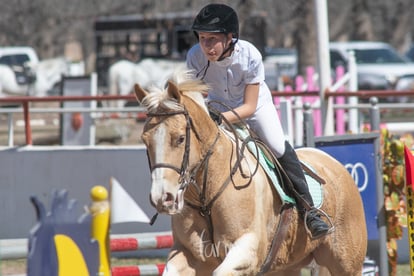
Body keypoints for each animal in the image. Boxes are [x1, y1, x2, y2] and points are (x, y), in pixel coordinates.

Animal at [133, 70, 366, 274]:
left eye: (180, 138)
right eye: (145, 141)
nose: (162, 198)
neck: (207, 195)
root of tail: (335, 164)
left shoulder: (248, 250)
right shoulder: (188, 253)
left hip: (346, 264)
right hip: (285, 267)